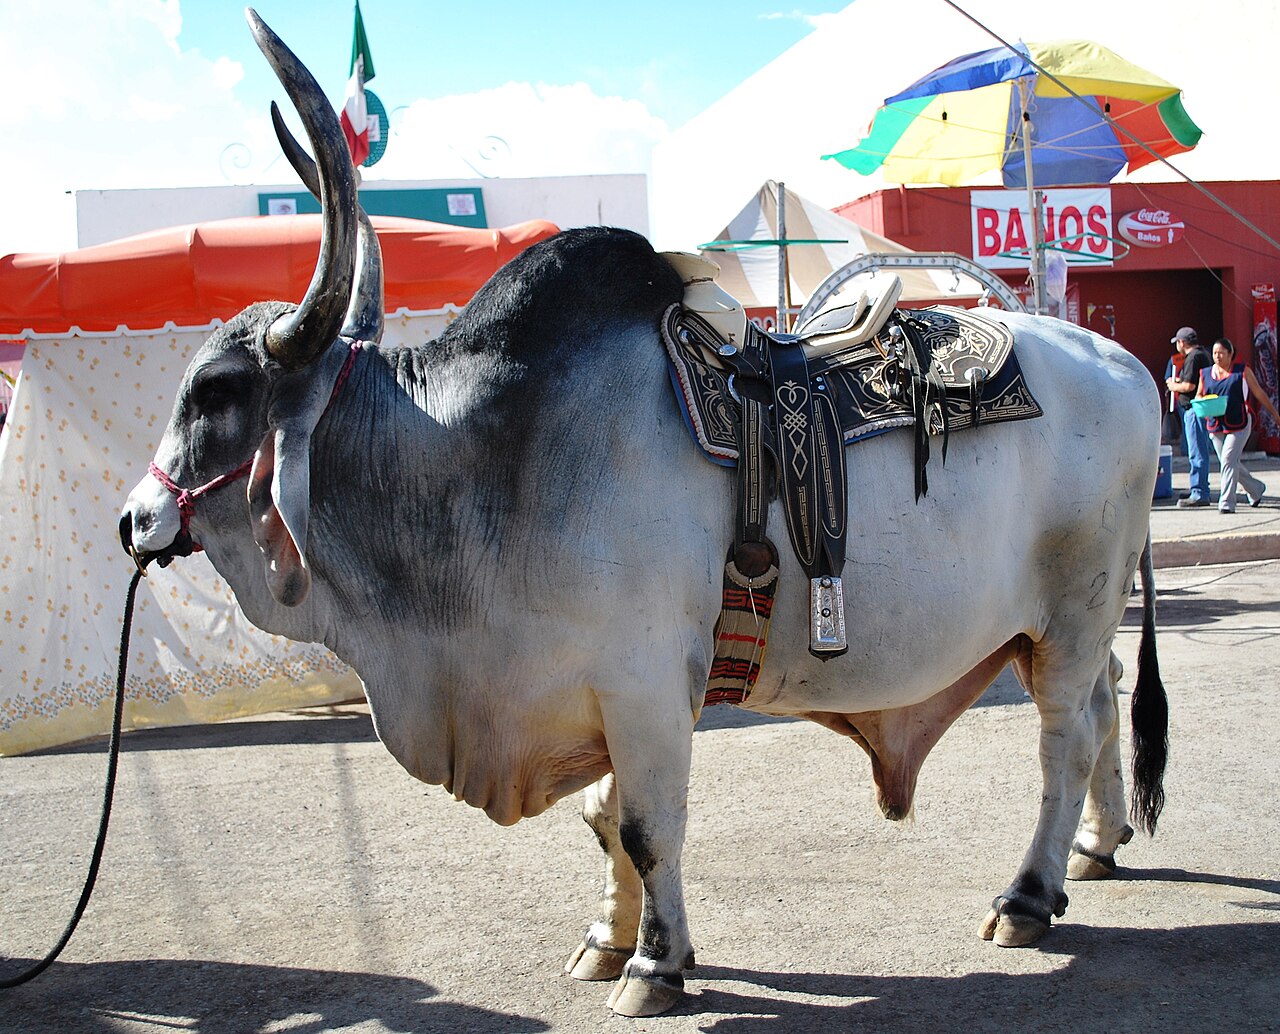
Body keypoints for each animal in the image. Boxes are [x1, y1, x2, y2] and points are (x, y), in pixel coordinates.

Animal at [119, 10, 1167, 1018]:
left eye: (215, 391)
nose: (134, 521)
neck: (495, 456)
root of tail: (1122, 363)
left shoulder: (648, 686)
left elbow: (647, 826)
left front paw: (657, 964)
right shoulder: (598, 693)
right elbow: (603, 824)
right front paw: (605, 939)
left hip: (1072, 615)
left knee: (1065, 738)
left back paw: (1027, 895)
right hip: (1050, 627)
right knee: (1105, 700)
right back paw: (1094, 850)